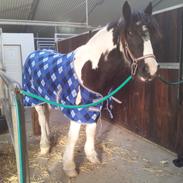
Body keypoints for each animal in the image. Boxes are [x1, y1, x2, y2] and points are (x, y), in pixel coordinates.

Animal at [22, 0, 160, 177]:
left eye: (151, 34)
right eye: (130, 33)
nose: (150, 70)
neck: (92, 68)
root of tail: (34, 53)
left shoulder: (95, 103)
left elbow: (91, 129)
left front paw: (92, 156)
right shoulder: (77, 106)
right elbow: (74, 135)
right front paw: (69, 167)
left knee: (46, 116)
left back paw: (50, 138)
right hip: (34, 96)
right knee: (40, 116)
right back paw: (45, 146)